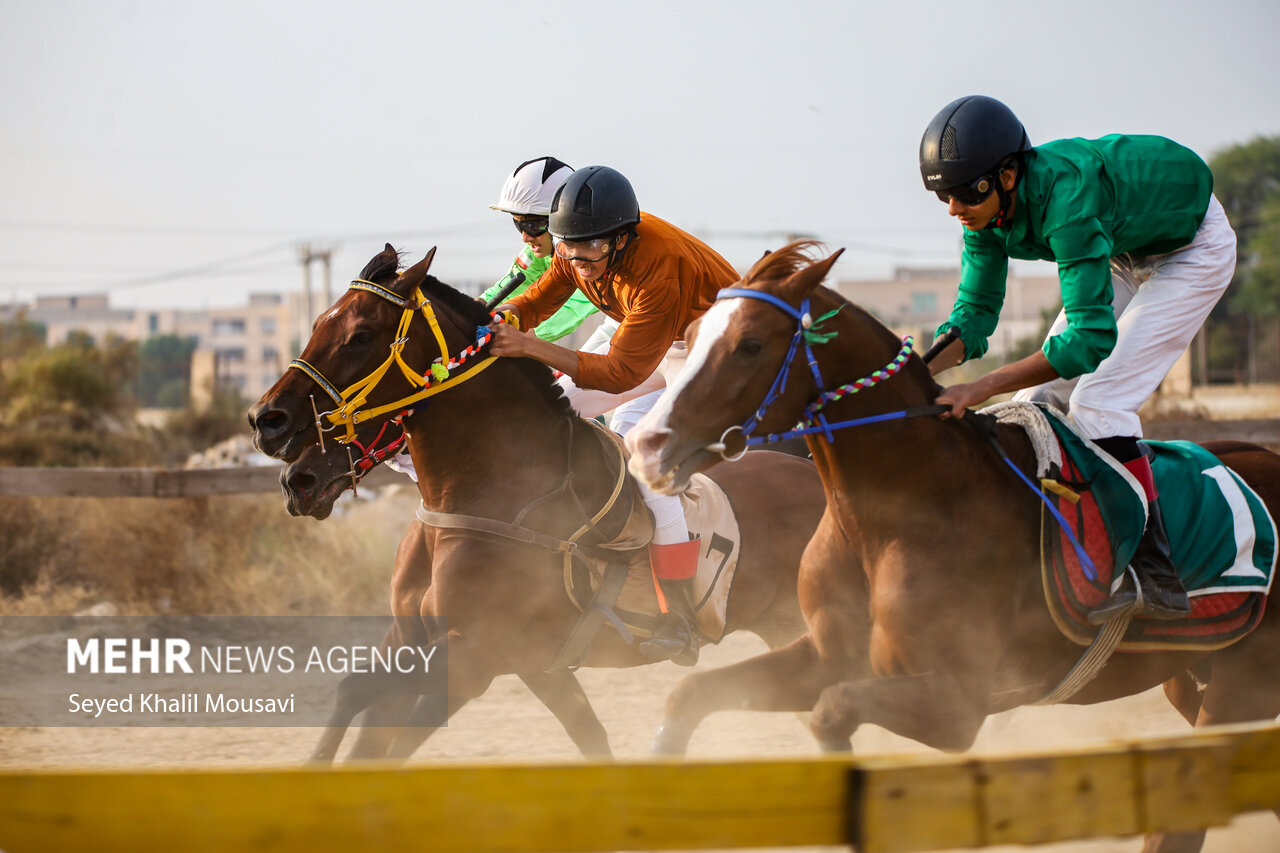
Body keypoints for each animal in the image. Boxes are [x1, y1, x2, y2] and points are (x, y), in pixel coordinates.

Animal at [249, 242, 829, 758]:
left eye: (360, 335)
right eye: (319, 322)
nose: (266, 421)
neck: (489, 490)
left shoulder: (475, 656)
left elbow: (366, 708)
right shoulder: (461, 648)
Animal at [629, 239, 1280, 850]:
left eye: (751, 344)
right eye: (690, 335)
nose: (646, 447)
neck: (899, 513)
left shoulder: (958, 706)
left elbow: (831, 712)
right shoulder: (826, 653)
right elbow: (690, 694)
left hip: (1243, 686)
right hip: (1188, 672)